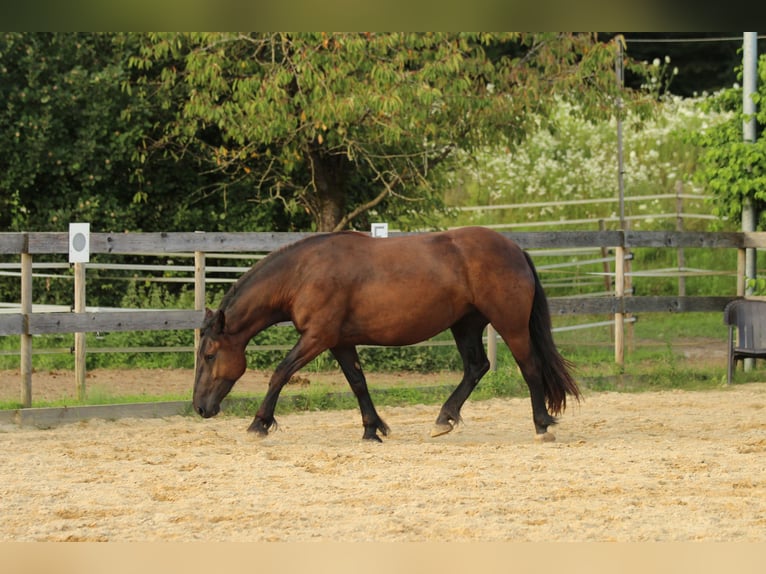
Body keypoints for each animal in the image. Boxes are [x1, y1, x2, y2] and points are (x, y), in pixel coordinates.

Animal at [194, 227, 584, 444]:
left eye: (210, 354)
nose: (200, 407)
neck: (303, 273)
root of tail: (515, 248)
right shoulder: (339, 342)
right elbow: (358, 383)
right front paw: (372, 429)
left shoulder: (317, 337)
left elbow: (280, 373)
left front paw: (258, 424)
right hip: (466, 324)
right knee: (476, 368)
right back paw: (444, 419)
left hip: (509, 323)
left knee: (530, 367)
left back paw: (542, 425)